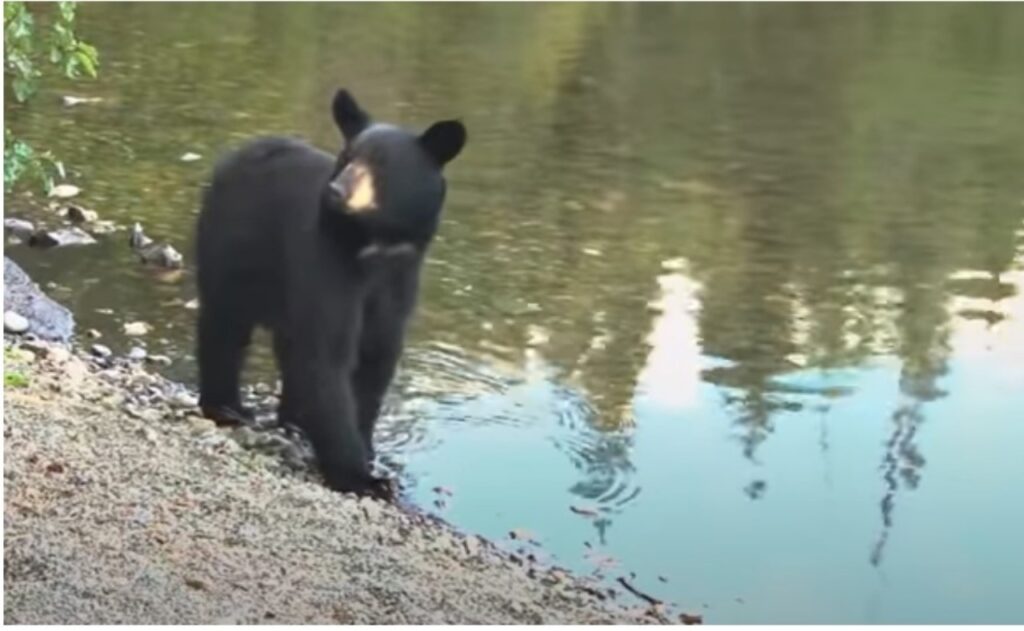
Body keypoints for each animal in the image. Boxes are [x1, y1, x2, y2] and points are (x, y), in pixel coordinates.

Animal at [193, 87, 466, 497]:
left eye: (380, 165)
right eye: (347, 157)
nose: (337, 191)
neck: (374, 245)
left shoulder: (401, 279)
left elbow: (376, 358)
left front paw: (369, 450)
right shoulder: (326, 260)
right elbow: (327, 357)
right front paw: (361, 478)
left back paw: (291, 419)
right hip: (230, 246)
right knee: (225, 325)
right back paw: (227, 407)